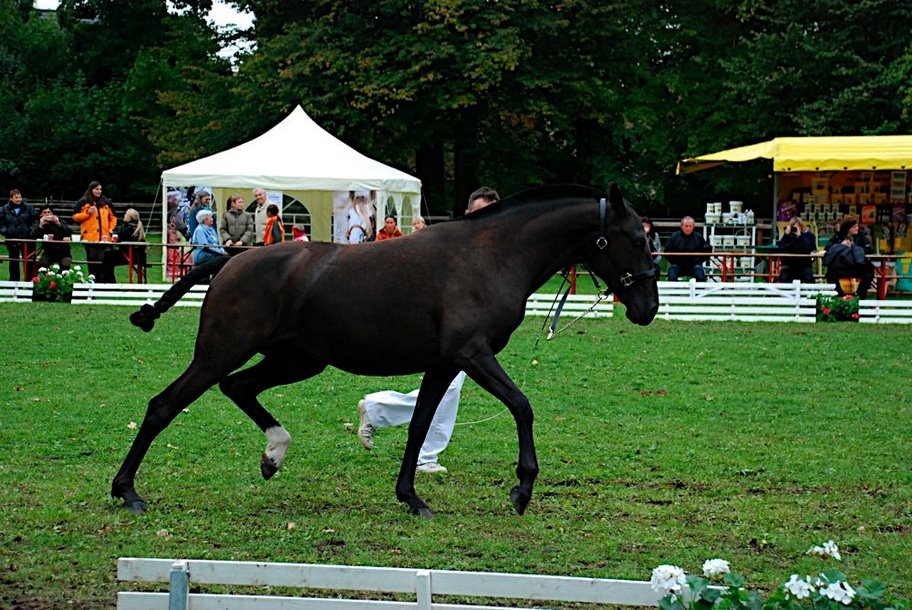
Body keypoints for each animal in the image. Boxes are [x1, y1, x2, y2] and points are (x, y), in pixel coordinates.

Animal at [114, 183, 660, 516]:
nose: (648, 308)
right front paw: (522, 489)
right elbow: (522, 407)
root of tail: (228, 261)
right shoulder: (472, 354)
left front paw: (410, 497)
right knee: (163, 406)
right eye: (636, 238)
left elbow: (419, 425)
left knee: (239, 388)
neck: (492, 255)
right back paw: (127, 491)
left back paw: (274, 453)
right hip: (218, 353)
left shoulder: (444, 365)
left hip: (297, 360)